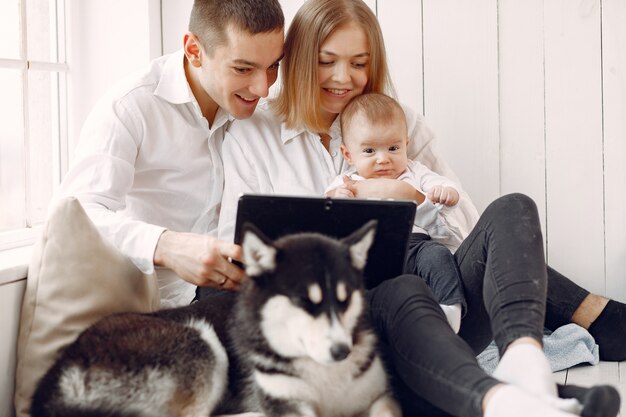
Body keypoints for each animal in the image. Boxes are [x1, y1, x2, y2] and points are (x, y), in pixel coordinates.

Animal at [30, 219, 400, 414]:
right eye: (303, 302)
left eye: (345, 300)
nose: (341, 351)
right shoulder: (287, 404)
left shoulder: (381, 398)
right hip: (201, 345)